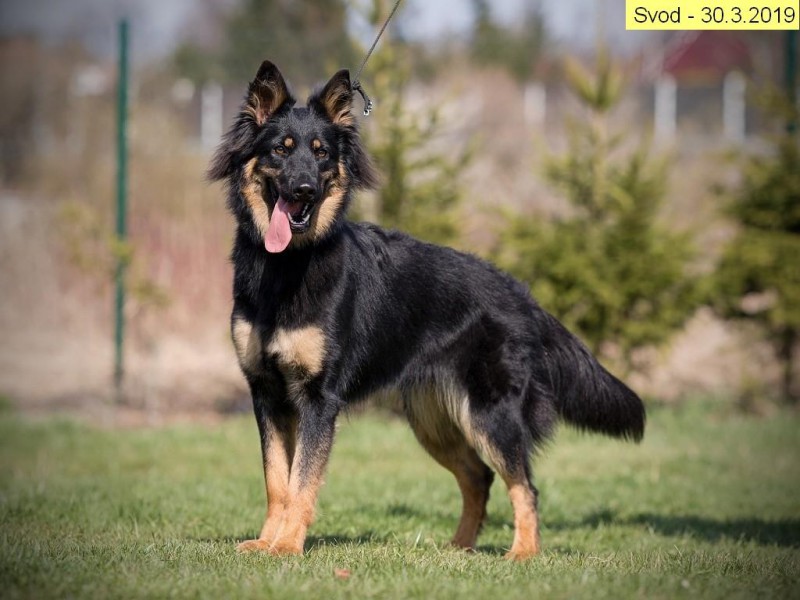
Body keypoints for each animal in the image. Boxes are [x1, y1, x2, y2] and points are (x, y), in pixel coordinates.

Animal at [209, 60, 645, 560]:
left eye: (321, 155)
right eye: (281, 150)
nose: (304, 189)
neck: (287, 267)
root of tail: (521, 293)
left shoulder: (319, 401)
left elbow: (301, 482)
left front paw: (286, 547)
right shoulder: (267, 395)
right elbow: (276, 482)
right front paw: (266, 542)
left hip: (490, 416)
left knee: (524, 485)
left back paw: (522, 553)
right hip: (432, 421)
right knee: (479, 476)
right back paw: (459, 549)